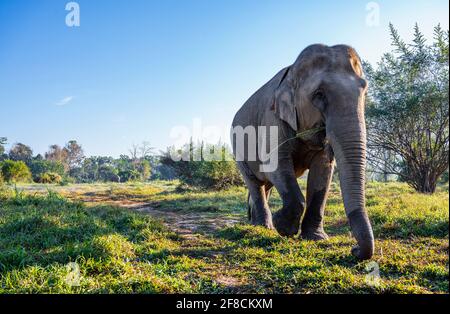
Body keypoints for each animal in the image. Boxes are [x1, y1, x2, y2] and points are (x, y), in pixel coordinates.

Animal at [230, 43, 374, 260]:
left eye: (364, 92)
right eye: (319, 94)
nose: (354, 249)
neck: (291, 72)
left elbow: (323, 172)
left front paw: (316, 238)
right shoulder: (272, 119)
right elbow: (276, 165)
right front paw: (283, 227)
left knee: (266, 185)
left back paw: (256, 223)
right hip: (237, 149)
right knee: (255, 183)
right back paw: (264, 226)